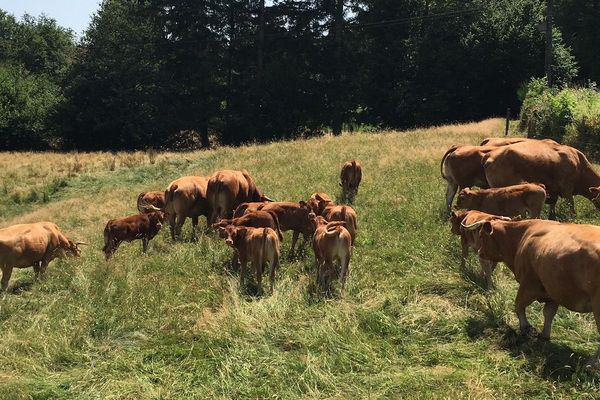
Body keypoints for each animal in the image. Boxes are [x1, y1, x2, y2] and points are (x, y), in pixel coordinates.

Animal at [464, 217, 600, 368]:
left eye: (482, 235)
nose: (480, 252)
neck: (523, 235)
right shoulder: (553, 290)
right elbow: (548, 313)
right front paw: (544, 335)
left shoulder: (529, 284)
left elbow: (518, 306)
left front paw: (525, 328)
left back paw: (591, 364)